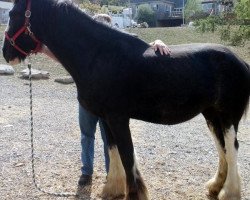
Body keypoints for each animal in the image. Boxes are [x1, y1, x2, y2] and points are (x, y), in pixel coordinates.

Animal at [2, 0, 250, 199]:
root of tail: (240, 61)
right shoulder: (106, 118)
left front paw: (133, 193)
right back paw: (215, 187)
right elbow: (113, 151)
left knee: (232, 146)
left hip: (228, 116)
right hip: (212, 115)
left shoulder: (118, 118)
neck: (99, 55)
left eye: (13, 14)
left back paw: (229, 192)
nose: (6, 53)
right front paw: (113, 189)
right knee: (222, 147)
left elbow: (127, 155)